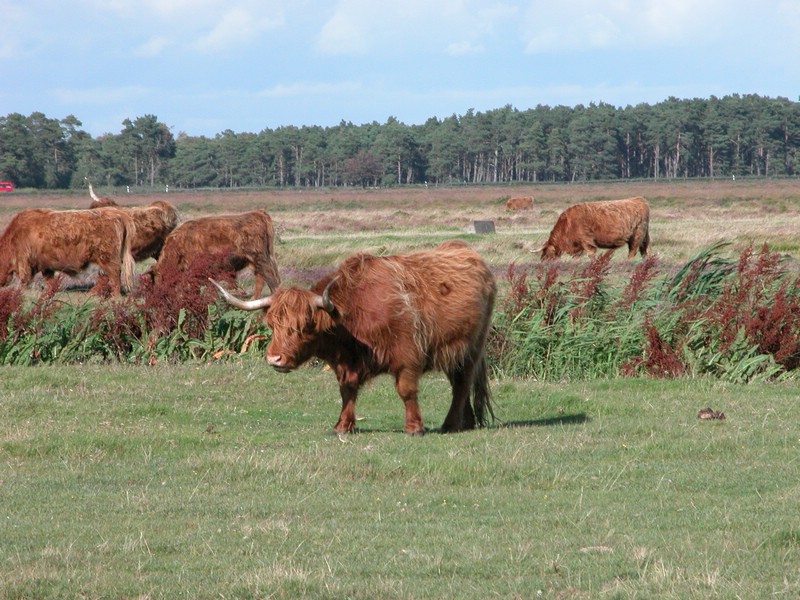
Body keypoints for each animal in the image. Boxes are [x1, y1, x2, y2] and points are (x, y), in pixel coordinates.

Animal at [0, 209, 136, 298]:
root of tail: (116, 213)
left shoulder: (24, 260)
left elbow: (25, 278)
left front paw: (22, 292)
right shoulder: (46, 264)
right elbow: (49, 279)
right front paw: (50, 292)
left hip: (107, 256)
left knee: (114, 274)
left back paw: (115, 296)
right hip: (105, 258)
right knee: (105, 275)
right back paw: (92, 293)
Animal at [214, 240, 500, 436]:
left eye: (305, 326)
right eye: (272, 324)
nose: (275, 359)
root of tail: (467, 252)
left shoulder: (407, 355)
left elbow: (406, 390)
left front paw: (414, 427)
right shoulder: (346, 364)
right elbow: (347, 391)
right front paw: (343, 426)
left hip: (471, 348)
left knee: (462, 383)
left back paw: (450, 424)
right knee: (459, 383)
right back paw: (466, 422)